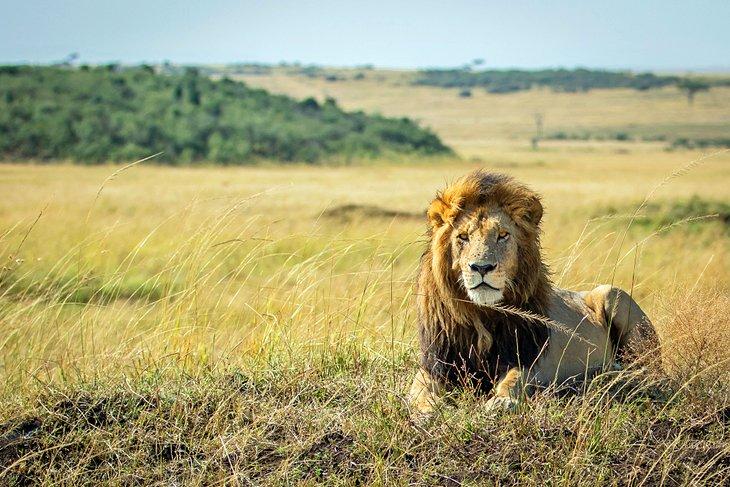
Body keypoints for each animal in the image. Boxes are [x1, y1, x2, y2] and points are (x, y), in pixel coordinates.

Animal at [409, 170, 658, 415]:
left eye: (502, 235)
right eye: (463, 237)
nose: (482, 267)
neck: (482, 314)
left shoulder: (529, 359)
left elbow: (514, 379)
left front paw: (502, 401)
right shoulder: (437, 363)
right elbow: (419, 387)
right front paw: (428, 409)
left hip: (612, 294)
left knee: (650, 369)